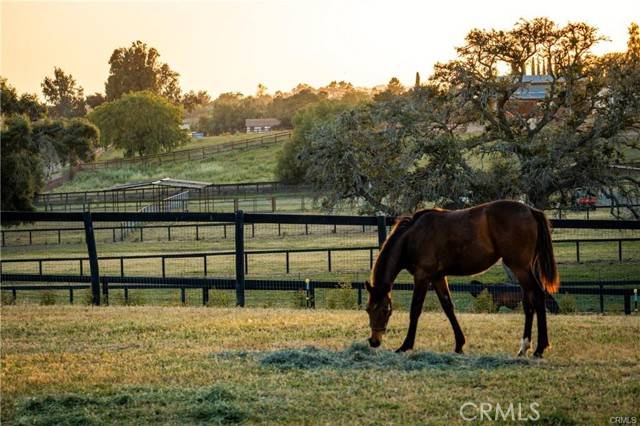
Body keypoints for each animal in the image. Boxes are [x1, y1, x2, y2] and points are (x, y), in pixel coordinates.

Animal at [364, 200, 560, 356]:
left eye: (384, 310)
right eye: (367, 310)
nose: (374, 341)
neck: (413, 236)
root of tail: (531, 210)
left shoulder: (422, 276)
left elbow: (415, 310)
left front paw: (405, 346)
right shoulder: (437, 277)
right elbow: (448, 307)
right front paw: (459, 344)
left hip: (520, 268)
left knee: (538, 296)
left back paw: (540, 348)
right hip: (525, 269)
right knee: (529, 303)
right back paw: (524, 347)